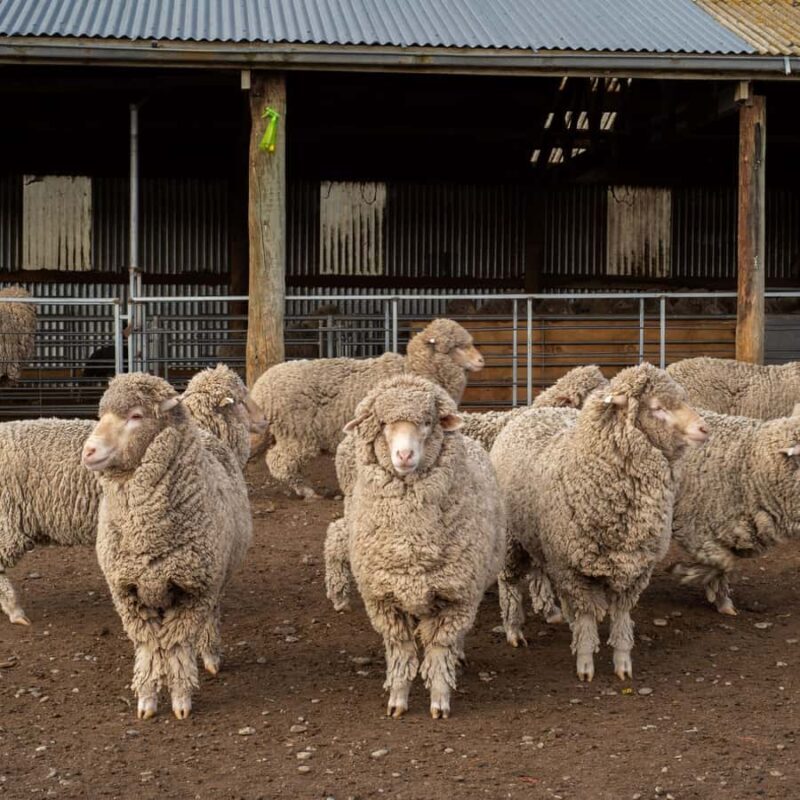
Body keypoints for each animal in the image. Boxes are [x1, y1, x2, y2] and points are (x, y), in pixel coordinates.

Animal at [83, 373, 252, 720]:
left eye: (136, 416)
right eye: (101, 414)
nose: (89, 451)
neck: (146, 535)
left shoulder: (193, 591)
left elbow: (175, 646)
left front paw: (181, 700)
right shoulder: (129, 594)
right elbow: (150, 647)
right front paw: (147, 699)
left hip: (216, 578)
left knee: (210, 618)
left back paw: (210, 655)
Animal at [250, 318, 484, 499]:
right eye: (458, 346)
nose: (481, 361)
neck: (415, 369)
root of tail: (261, 388)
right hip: (297, 433)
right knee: (279, 462)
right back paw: (306, 491)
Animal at [324, 374, 505, 719]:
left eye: (427, 422)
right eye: (383, 424)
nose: (405, 456)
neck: (411, 541)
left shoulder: (456, 598)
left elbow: (439, 650)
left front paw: (440, 700)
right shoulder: (385, 600)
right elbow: (401, 650)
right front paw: (397, 698)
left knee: (454, 638)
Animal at [492, 363, 707, 682]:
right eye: (657, 407)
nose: (704, 429)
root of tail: (536, 409)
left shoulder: (633, 569)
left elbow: (620, 617)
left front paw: (622, 662)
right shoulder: (574, 569)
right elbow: (587, 616)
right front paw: (585, 663)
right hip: (511, 539)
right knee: (509, 583)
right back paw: (514, 629)